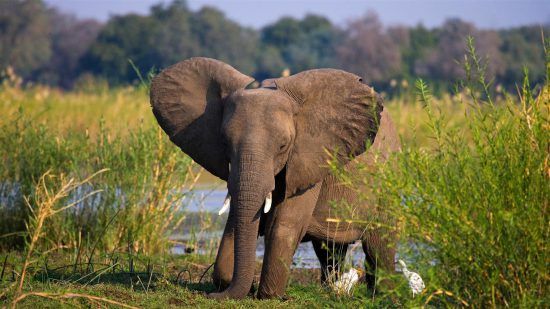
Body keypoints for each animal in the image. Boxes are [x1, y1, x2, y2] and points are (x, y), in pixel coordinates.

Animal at [151, 57, 402, 298]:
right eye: (224, 143)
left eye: (283, 146)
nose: (212, 296)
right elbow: (236, 220)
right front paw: (235, 284)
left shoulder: (310, 158)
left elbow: (282, 225)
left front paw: (268, 295)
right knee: (329, 250)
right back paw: (332, 290)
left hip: (387, 181)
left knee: (379, 244)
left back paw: (382, 296)